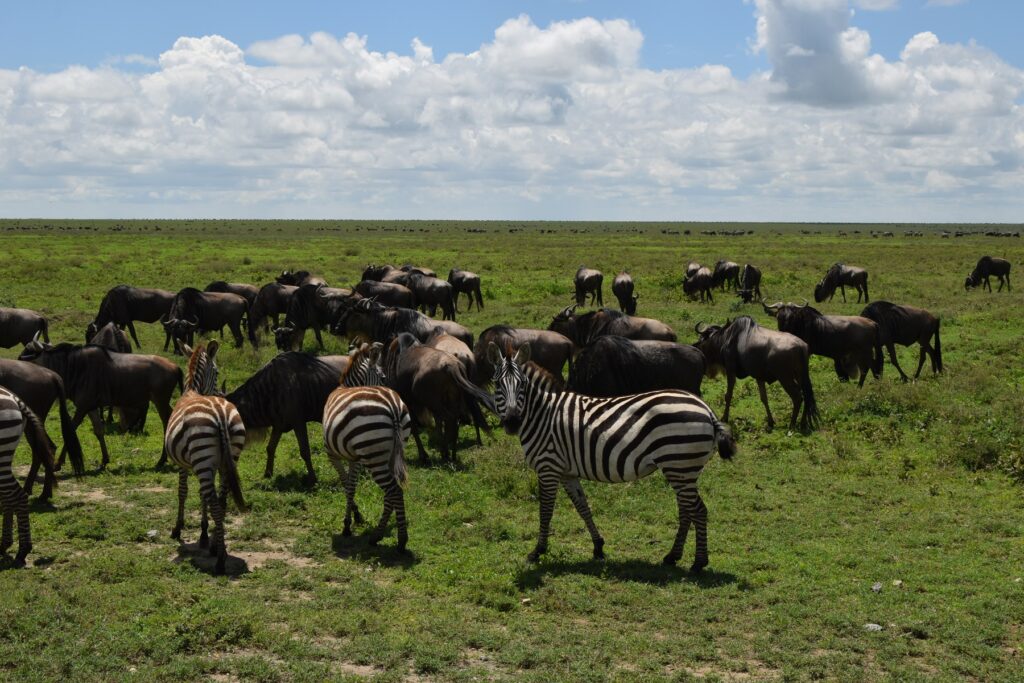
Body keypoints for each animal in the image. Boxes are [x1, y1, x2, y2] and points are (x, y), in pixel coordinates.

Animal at [164, 340, 247, 575]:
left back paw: (220, 560)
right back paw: (218, 546)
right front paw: (204, 535)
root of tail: (220, 414)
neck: (192, 390)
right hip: (228, 457)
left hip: (202, 457)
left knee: (215, 502)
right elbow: (203, 497)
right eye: (217, 372)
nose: (222, 393)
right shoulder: (213, 465)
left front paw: (178, 529)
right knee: (222, 498)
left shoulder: (183, 464)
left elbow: (182, 492)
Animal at [323, 342, 413, 551]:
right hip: (388, 453)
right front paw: (354, 518)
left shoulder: (332, 454)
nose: (395, 387)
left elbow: (345, 483)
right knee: (391, 492)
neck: (346, 386)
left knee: (394, 490)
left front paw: (348, 523)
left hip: (374, 457)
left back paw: (401, 540)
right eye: (384, 377)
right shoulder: (355, 457)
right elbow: (352, 485)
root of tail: (394, 407)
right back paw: (377, 535)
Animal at [486, 342, 736, 571]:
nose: (512, 422)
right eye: (497, 384)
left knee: (697, 510)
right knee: (686, 510)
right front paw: (598, 546)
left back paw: (699, 562)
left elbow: (545, 511)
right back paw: (672, 557)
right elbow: (582, 506)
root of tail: (707, 410)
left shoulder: (548, 467)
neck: (542, 415)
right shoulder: (567, 472)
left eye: (522, 384)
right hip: (681, 468)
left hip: (680, 464)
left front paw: (538, 551)